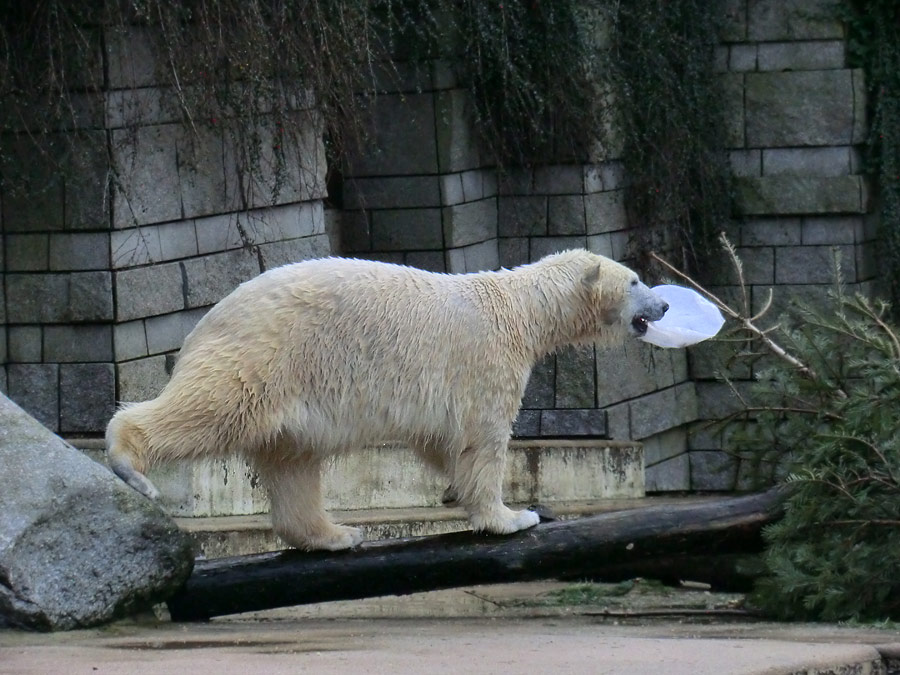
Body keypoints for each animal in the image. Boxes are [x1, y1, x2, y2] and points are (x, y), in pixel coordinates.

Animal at [105, 248, 668, 548]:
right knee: (212, 408)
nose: (663, 304)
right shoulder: (486, 363)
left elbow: (440, 443)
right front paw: (512, 517)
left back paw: (335, 535)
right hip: (265, 356)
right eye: (635, 279)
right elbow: (481, 442)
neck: (518, 309)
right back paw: (128, 461)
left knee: (292, 464)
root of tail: (209, 317)